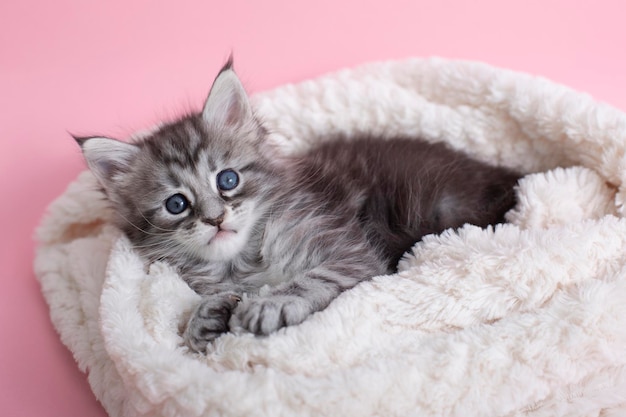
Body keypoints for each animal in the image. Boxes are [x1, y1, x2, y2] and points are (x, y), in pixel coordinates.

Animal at [75, 59, 520, 352]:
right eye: (176, 204)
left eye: (228, 180)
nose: (216, 219)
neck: (245, 262)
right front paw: (201, 321)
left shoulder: (352, 254)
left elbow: (312, 279)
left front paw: (272, 303)